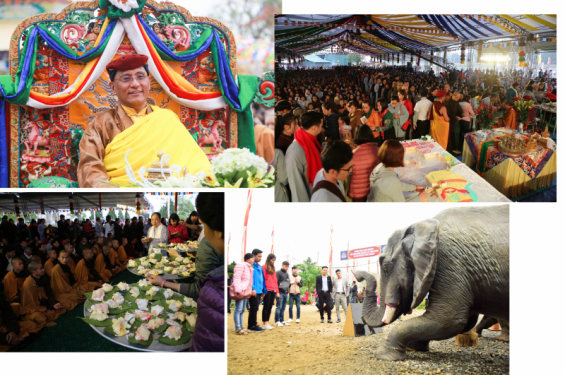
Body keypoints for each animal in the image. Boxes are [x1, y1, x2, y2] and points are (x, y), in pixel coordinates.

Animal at [352, 204, 506, 362]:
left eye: (384, 267)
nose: (357, 276)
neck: (422, 226)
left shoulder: (450, 262)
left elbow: (447, 320)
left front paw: (384, 355)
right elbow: (466, 320)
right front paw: (413, 347)